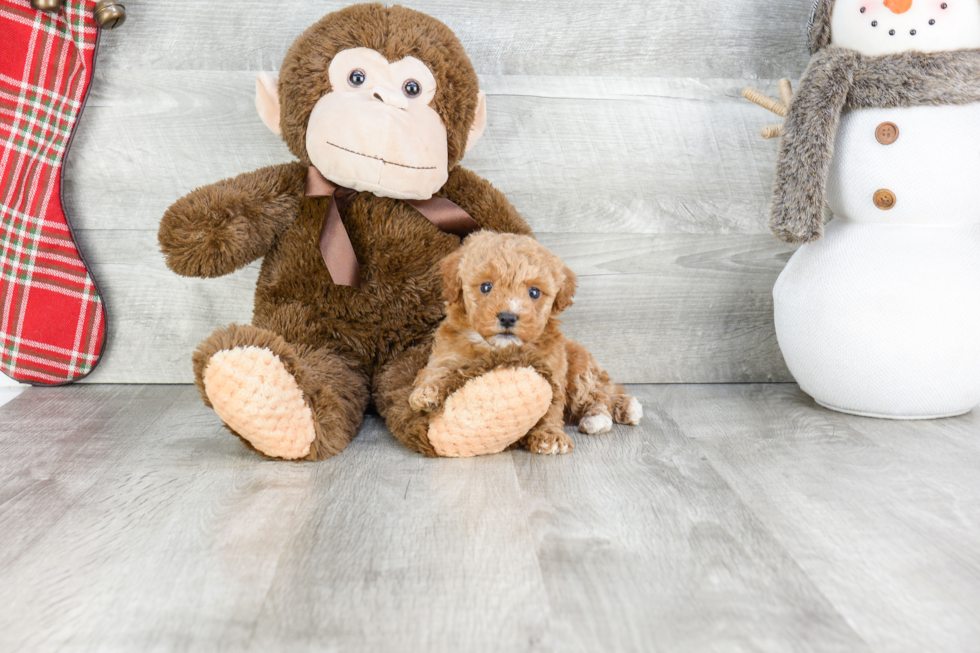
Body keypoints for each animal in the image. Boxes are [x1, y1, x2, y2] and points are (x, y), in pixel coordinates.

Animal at [410, 233, 640, 454]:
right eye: (486, 287)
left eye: (534, 292)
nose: (508, 317)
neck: (497, 347)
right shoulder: (448, 351)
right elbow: (438, 369)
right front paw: (426, 392)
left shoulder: (552, 371)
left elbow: (551, 406)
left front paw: (550, 436)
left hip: (580, 371)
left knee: (596, 396)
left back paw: (602, 416)